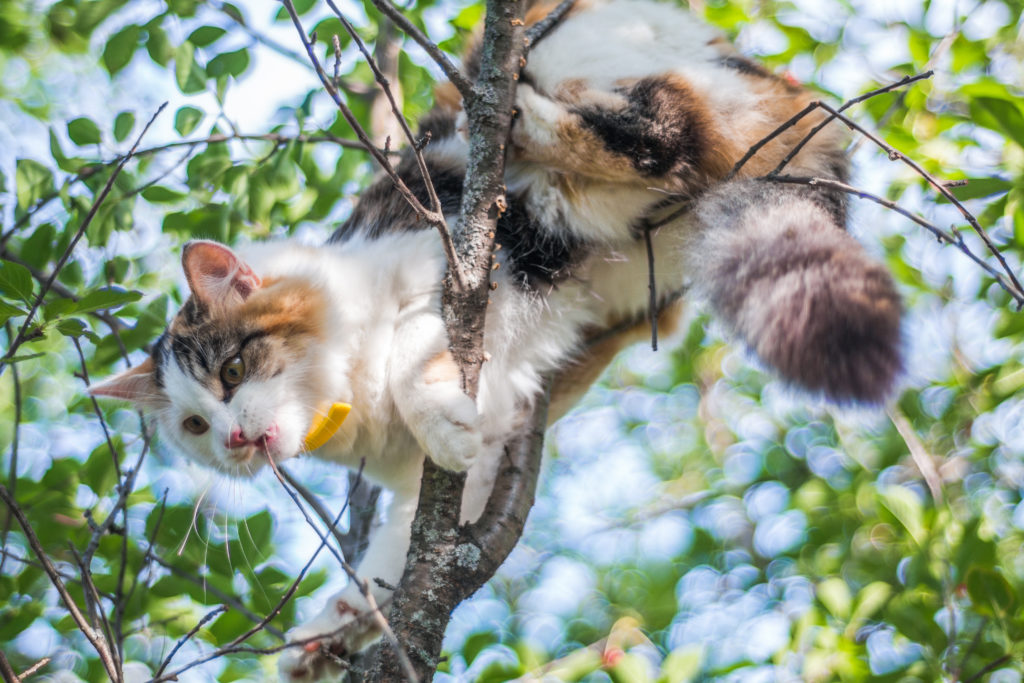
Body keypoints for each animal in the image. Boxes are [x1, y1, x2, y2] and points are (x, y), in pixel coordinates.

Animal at [92, 0, 901, 679]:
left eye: (232, 370)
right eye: (194, 426)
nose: (231, 437)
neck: (352, 410)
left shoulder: (471, 259)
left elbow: (411, 356)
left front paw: (442, 421)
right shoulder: (485, 423)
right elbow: (390, 560)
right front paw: (328, 633)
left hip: (594, 62)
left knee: (664, 127)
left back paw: (514, 106)